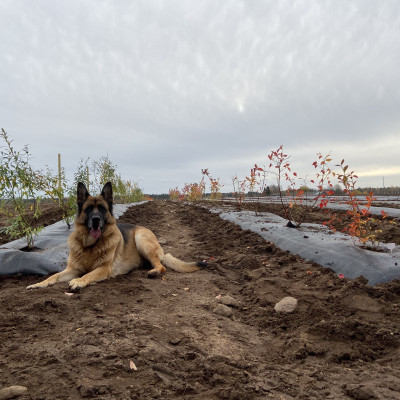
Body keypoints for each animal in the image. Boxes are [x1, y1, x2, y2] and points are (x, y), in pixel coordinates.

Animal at [26, 182, 205, 290]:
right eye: (89, 209)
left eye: (102, 209)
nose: (96, 220)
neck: (90, 245)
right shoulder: (72, 269)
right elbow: (55, 275)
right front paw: (39, 283)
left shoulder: (104, 269)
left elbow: (88, 274)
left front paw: (78, 281)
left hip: (141, 239)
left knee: (162, 266)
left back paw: (154, 272)